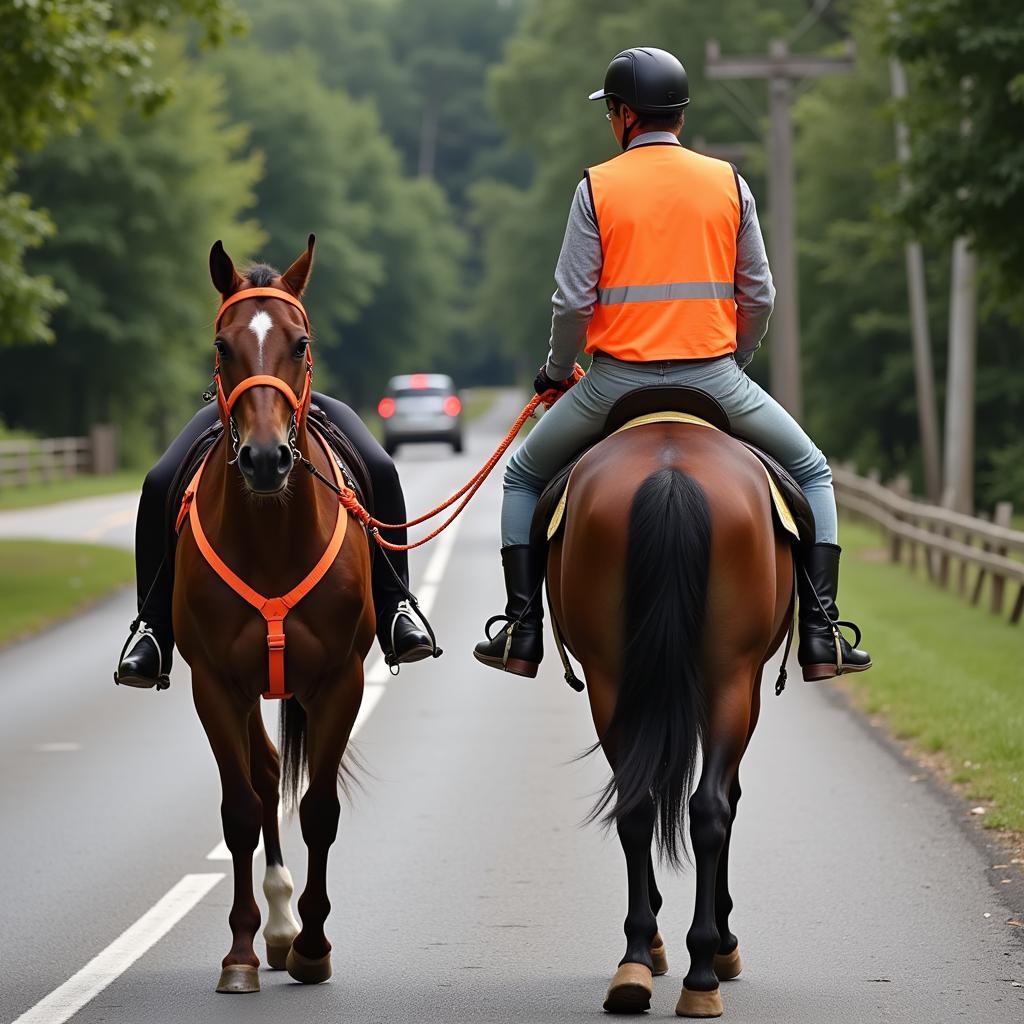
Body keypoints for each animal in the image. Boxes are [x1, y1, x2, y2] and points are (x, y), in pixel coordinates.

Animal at [175, 237, 376, 991]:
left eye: (300, 342)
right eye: (222, 345)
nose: (265, 459)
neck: (270, 534)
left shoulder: (342, 680)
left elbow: (319, 809)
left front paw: (316, 945)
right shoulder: (213, 685)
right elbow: (239, 810)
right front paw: (240, 952)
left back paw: (294, 931)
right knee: (262, 781)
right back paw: (278, 924)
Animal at [548, 417, 794, 1015]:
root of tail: (670, 478)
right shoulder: (748, 683)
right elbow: (729, 798)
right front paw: (721, 941)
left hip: (614, 679)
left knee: (644, 805)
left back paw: (637, 964)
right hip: (729, 679)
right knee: (709, 806)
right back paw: (704, 968)